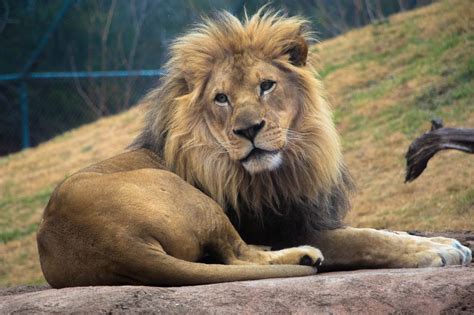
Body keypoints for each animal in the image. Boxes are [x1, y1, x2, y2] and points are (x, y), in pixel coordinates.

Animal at [37, 9, 470, 288]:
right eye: (221, 98)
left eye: (266, 86)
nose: (249, 130)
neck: (289, 163)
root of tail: (114, 245)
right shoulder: (287, 224)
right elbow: (366, 240)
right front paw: (438, 252)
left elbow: (383, 230)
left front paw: (439, 241)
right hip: (190, 198)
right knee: (238, 254)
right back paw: (304, 256)